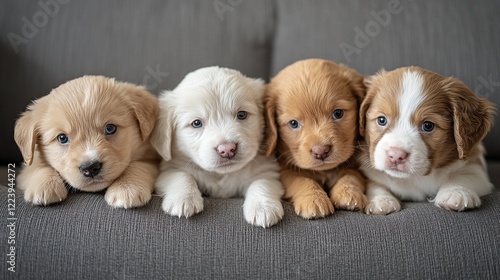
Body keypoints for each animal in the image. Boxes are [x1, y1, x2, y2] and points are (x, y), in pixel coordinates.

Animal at [13, 75, 159, 209]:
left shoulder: (152, 159)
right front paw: (44, 186)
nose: (90, 168)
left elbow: (138, 165)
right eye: (62, 138)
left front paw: (126, 188)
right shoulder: (26, 168)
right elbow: (38, 166)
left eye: (110, 128)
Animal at [151, 66, 286, 229]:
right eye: (196, 123)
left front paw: (263, 207)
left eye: (242, 114)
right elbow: (181, 175)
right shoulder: (169, 168)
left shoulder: (266, 170)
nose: (227, 149)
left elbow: (261, 182)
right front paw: (184, 199)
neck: (221, 175)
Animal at [266, 59, 368, 219]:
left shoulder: (356, 166)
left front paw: (349, 193)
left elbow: (351, 175)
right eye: (293, 123)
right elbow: (300, 179)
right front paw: (313, 198)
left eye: (338, 113)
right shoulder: (283, 169)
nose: (321, 151)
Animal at [360, 66, 496, 215]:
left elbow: (465, 174)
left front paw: (456, 192)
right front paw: (382, 200)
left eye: (428, 126)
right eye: (381, 120)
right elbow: (375, 182)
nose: (396, 155)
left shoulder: (475, 164)